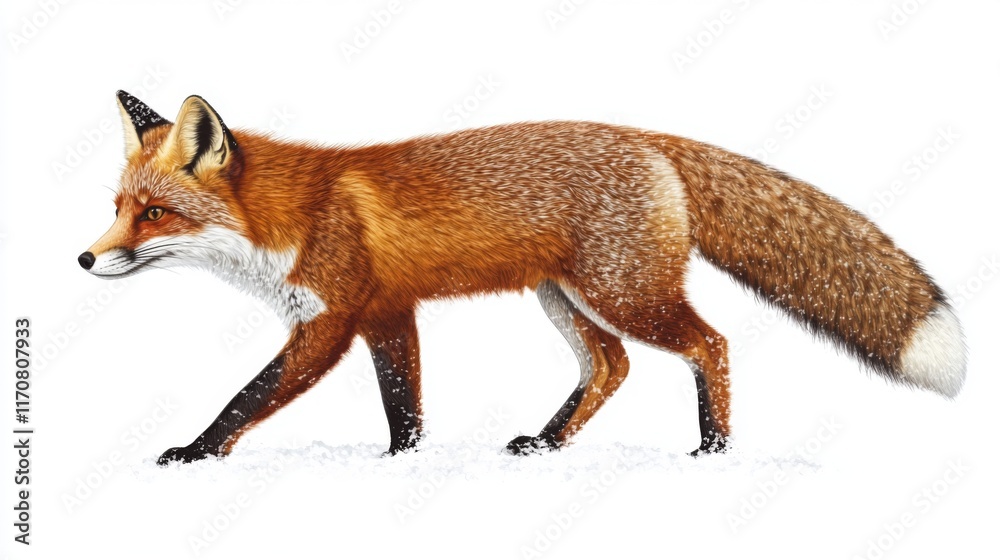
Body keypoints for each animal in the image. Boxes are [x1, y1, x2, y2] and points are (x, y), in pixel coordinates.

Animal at [79, 91, 966, 465]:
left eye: (153, 214)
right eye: (118, 207)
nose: (85, 259)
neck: (290, 216)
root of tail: (651, 139)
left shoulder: (330, 322)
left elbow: (247, 396)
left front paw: (197, 452)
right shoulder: (388, 315)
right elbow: (405, 406)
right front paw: (403, 463)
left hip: (624, 294)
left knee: (709, 344)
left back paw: (713, 448)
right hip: (566, 300)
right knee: (612, 367)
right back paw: (546, 442)